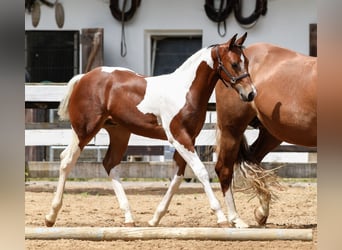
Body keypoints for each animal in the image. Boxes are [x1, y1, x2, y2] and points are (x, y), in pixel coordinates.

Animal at [43, 33, 256, 229]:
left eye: (246, 62)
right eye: (234, 64)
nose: (251, 93)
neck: (184, 90)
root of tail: (84, 77)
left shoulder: (189, 139)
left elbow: (178, 176)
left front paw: (155, 218)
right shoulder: (179, 137)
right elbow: (201, 171)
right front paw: (221, 217)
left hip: (119, 132)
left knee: (109, 163)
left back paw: (129, 217)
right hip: (84, 130)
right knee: (67, 160)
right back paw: (51, 216)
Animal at [215, 42, 316, 227]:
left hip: (271, 133)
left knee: (254, 161)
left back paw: (261, 212)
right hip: (231, 129)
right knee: (224, 169)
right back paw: (235, 219)